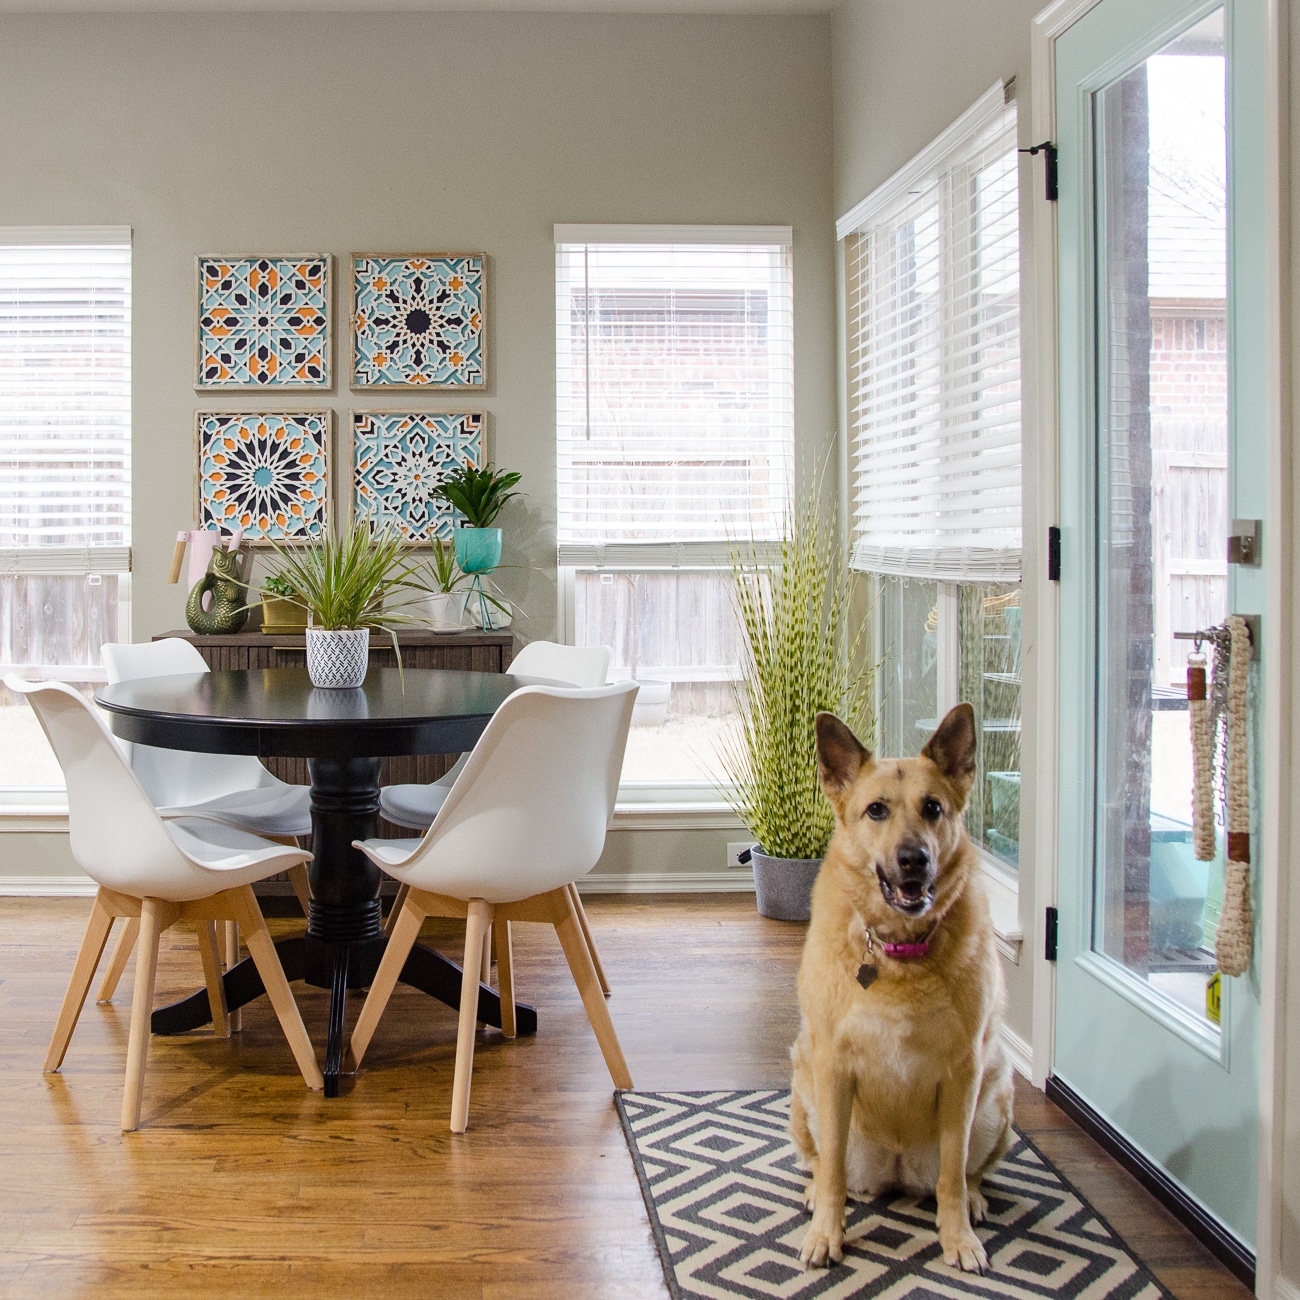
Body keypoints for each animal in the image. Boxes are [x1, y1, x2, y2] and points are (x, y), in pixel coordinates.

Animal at [785, 707, 1019, 1274]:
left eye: (933, 808)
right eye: (876, 810)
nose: (914, 859)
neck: (898, 950)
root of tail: (895, 1169)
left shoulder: (963, 1072)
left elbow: (953, 1173)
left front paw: (958, 1240)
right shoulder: (832, 1065)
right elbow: (832, 1174)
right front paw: (826, 1235)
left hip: (995, 1097)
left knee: (966, 1172)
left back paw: (975, 1202)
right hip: (806, 1087)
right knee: (823, 1163)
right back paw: (816, 1196)